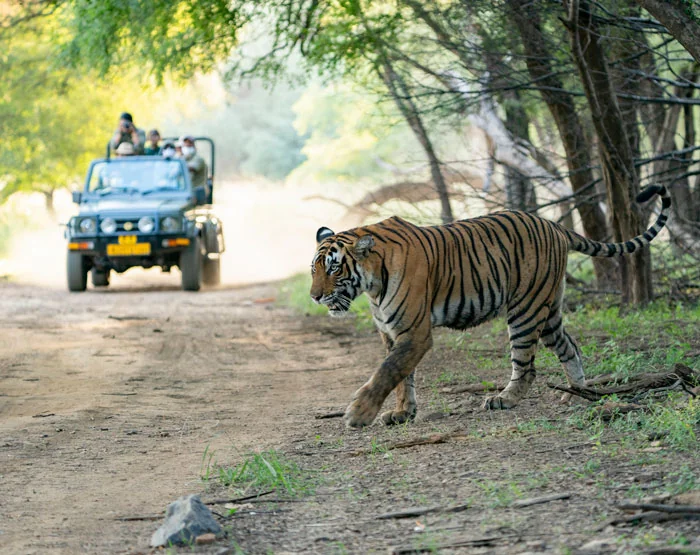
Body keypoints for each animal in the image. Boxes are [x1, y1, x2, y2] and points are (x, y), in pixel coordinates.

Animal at [310, 185, 671, 428]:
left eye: (334, 268)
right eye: (314, 269)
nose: (314, 296)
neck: (372, 283)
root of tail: (552, 224)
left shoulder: (414, 332)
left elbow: (388, 371)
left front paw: (359, 413)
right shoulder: (391, 333)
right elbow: (401, 377)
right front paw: (402, 413)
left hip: (525, 310)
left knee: (527, 366)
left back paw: (505, 400)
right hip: (549, 311)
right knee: (571, 347)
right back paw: (576, 393)